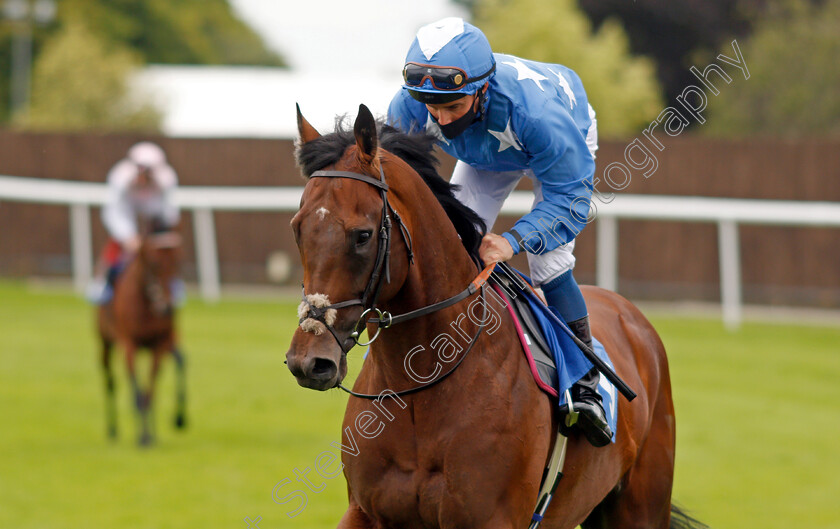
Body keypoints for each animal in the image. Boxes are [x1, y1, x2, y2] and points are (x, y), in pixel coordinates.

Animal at [97, 231, 187, 446]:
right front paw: (142, 437)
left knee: (180, 361)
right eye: (154, 263)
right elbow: (138, 394)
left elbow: (150, 392)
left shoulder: (160, 345)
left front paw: (152, 435)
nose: (167, 307)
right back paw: (112, 430)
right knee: (110, 381)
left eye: (179, 262)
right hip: (105, 343)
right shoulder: (129, 345)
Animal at [286, 104, 704, 528]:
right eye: (297, 228)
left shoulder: (493, 518)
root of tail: (630, 315)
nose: (309, 361)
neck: (421, 386)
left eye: (363, 235)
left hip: (641, 506)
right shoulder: (365, 511)